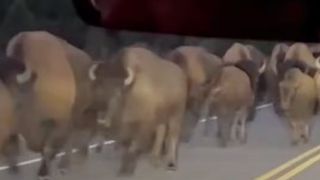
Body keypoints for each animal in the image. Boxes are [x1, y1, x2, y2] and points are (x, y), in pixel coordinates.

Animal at [87, 46, 188, 176]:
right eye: (97, 88)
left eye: (118, 92)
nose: (102, 120)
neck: (130, 91)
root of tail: (181, 74)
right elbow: (126, 145)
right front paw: (123, 169)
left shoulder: (142, 125)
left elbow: (133, 146)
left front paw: (127, 170)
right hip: (161, 116)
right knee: (161, 131)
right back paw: (154, 159)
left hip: (176, 114)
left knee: (173, 135)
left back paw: (171, 164)